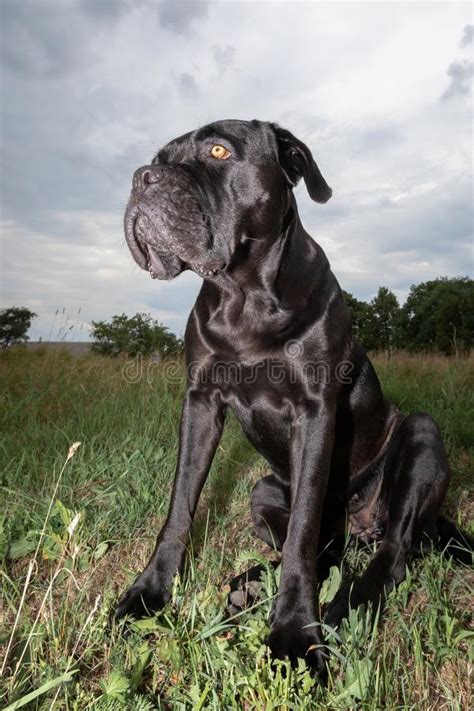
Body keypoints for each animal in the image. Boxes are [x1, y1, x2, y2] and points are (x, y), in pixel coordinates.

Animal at [116, 119, 472, 676]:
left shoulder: (315, 410)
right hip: (263, 490)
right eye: (159, 158)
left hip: (420, 432)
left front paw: (293, 633)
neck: (242, 296)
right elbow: (179, 507)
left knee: (391, 552)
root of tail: (363, 523)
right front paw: (149, 593)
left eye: (218, 150)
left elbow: (303, 533)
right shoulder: (200, 402)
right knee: (327, 549)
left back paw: (346, 606)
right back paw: (251, 584)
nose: (141, 178)